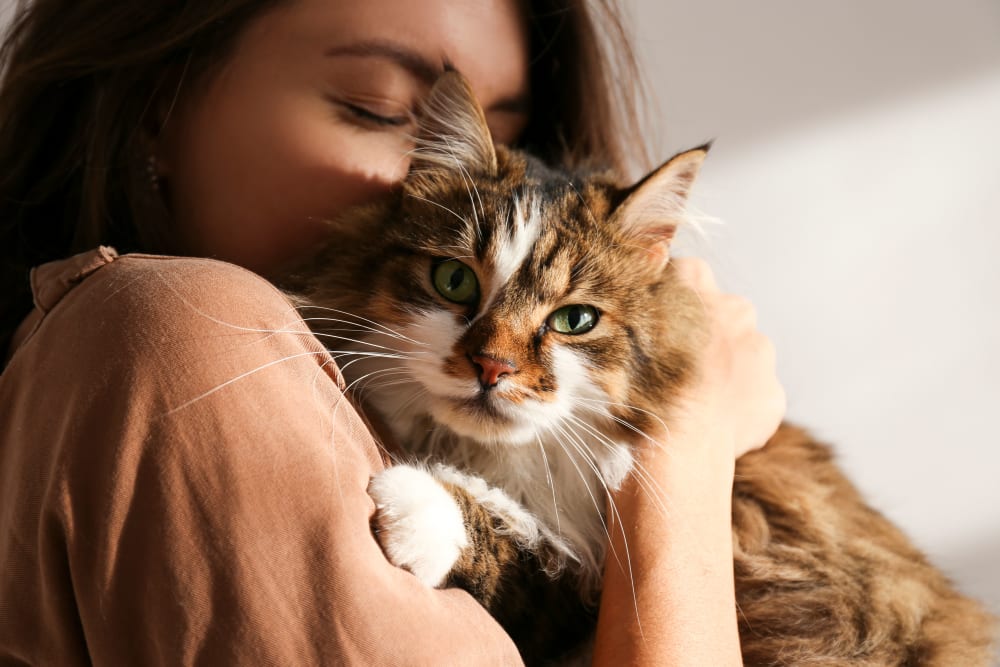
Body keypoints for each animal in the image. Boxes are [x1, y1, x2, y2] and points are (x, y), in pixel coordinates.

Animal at [280, 70, 992, 664]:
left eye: (574, 320)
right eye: (454, 281)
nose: (491, 366)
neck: (500, 462)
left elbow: (521, 549)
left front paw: (417, 506)